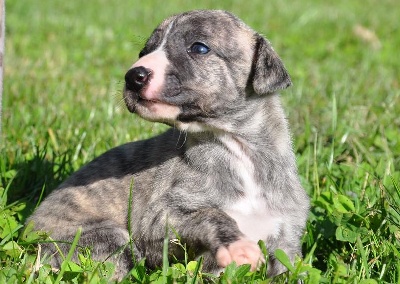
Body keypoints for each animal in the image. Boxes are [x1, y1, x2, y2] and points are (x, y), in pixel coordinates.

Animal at [28, 9, 310, 280]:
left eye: (199, 48)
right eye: (144, 52)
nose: (133, 76)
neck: (240, 153)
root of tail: (29, 228)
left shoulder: (287, 240)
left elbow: (294, 270)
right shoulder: (159, 219)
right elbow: (211, 214)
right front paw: (237, 245)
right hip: (101, 239)